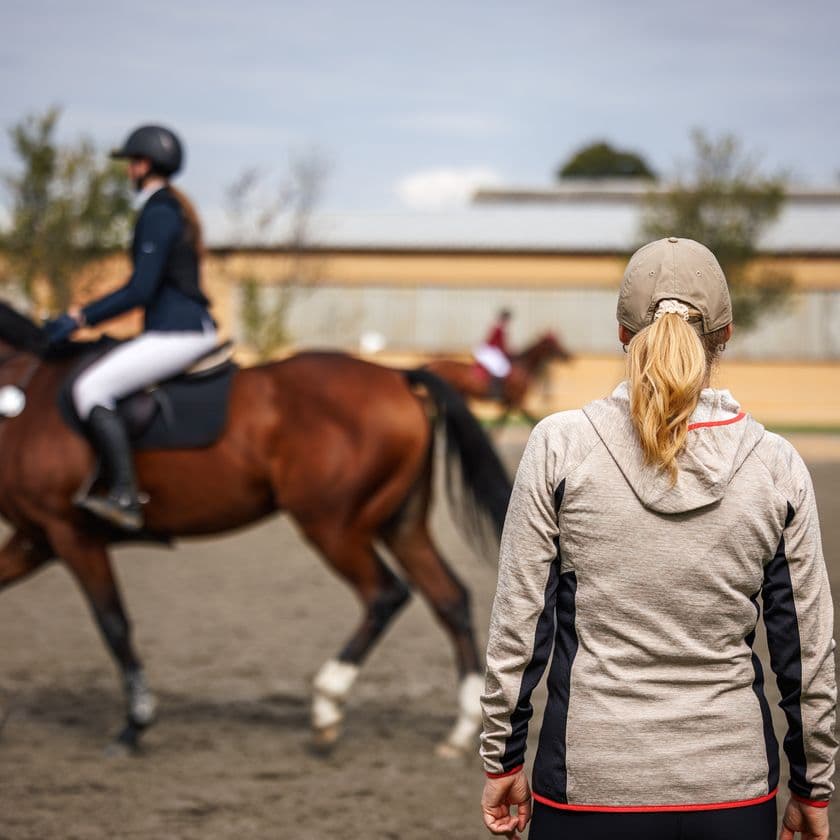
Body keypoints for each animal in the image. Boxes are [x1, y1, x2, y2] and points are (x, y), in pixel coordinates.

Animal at [0, 302, 511, 757]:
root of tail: (397, 377)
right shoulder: (35, 537)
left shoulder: (69, 533)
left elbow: (113, 624)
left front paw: (134, 727)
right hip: (400, 524)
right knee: (449, 599)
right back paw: (462, 731)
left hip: (332, 526)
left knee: (385, 595)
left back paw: (327, 707)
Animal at [423, 331, 573, 425]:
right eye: (553, 343)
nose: (567, 356)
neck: (523, 365)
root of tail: (433, 365)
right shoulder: (517, 401)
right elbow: (531, 419)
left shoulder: (510, 403)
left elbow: (501, 422)